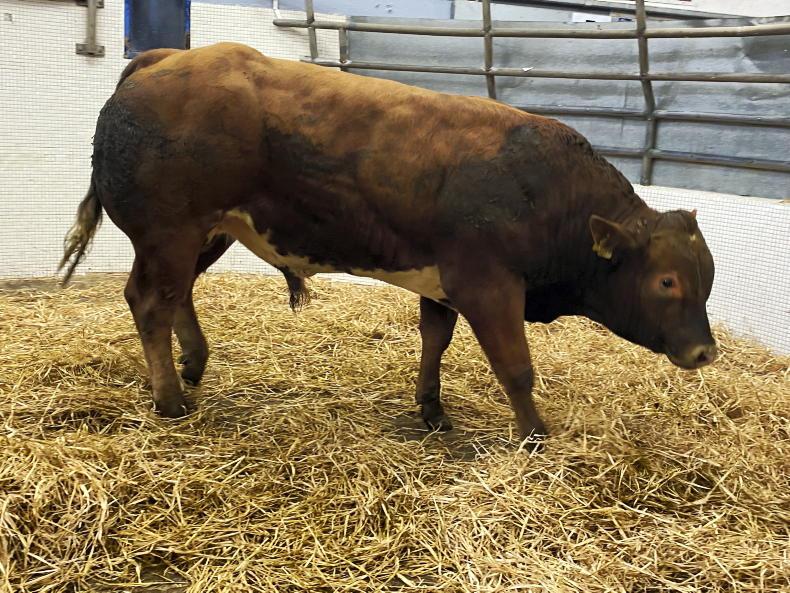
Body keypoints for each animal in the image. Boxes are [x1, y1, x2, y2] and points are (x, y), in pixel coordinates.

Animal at [59, 43, 717, 448]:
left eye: (704, 280)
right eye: (666, 281)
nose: (705, 352)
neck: (547, 191)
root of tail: (169, 57)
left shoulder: (444, 284)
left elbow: (435, 342)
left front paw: (432, 408)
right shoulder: (489, 285)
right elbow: (516, 368)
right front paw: (535, 435)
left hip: (207, 232)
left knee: (177, 297)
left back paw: (193, 364)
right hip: (170, 231)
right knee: (151, 302)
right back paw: (170, 398)